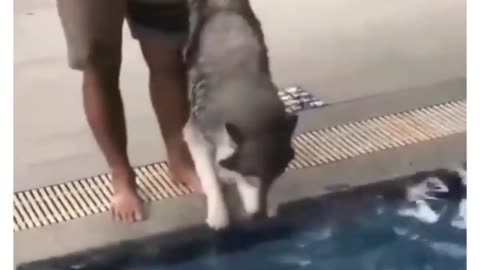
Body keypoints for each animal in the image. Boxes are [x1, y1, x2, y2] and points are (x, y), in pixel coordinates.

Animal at [183, 0, 296, 230]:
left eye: (275, 178)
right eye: (249, 176)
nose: (260, 216)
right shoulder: (194, 133)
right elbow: (210, 178)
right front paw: (218, 214)